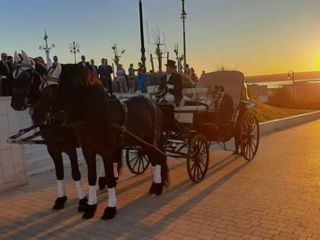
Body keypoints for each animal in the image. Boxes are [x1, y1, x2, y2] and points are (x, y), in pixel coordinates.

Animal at [10, 60, 87, 212]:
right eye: (14, 78)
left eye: (26, 77)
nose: (14, 104)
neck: (54, 117)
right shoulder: (52, 148)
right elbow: (59, 172)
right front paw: (60, 199)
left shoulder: (70, 148)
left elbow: (75, 173)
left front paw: (82, 201)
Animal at [60, 64, 170, 220]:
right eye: (60, 84)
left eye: (75, 83)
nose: (65, 118)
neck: (97, 117)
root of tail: (153, 103)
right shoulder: (89, 152)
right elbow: (91, 179)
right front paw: (90, 207)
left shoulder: (106, 151)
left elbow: (111, 178)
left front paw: (110, 208)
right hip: (143, 142)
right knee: (154, 160)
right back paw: (155, 186)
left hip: (150, 140)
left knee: (157, 158)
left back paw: (158, 187)